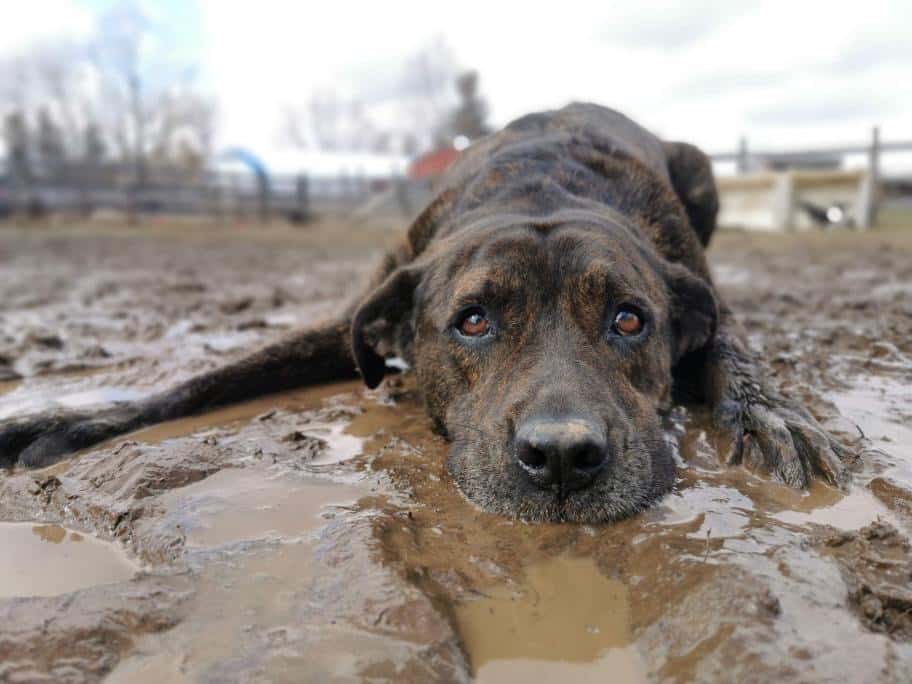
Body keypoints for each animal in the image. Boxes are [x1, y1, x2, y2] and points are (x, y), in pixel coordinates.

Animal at [3, 104, 852, 524]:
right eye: (472, 320)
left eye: (630, 320)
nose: (563, 458)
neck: (542, 188)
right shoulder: (359, 312)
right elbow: (207, 378)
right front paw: (68, 421)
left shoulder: (698, 288)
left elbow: (731, 344)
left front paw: (768, 414)